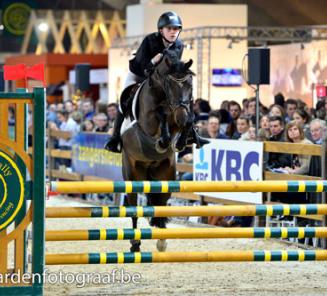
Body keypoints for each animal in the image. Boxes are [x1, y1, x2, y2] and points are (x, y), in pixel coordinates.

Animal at [120, 49, 195, 252]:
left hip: (166, 176)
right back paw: (135, 244)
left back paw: (161, 239)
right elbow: (160, 114)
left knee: (161, 203)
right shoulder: (149, 121)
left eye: (190, 85)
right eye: (171, 84)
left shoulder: (180, 116)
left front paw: (180, 141)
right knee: (134, 209)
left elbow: (188, 120)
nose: (181, 115)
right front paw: (162, 142)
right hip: (132, 176)